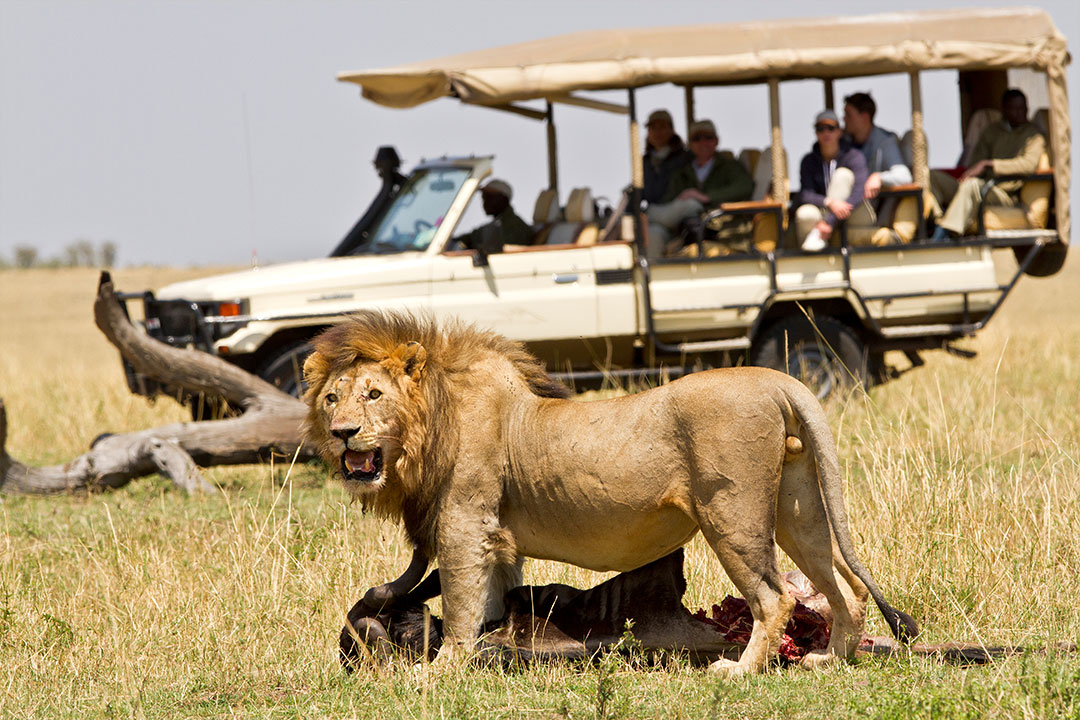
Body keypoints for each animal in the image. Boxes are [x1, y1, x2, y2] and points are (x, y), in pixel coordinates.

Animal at [304, 310, 920, 677]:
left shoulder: (463, 524)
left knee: (775, 599)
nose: (342, 433)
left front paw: (438, 671)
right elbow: (491, 601)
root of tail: (777, 380)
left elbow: (458, 606)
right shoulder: (498, 541)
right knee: (845, 588)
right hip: (799, 509)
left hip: (732, 515)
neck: (430, 424)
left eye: (374, 395)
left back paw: (740, 672)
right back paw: (828, 658)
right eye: (332, 398)